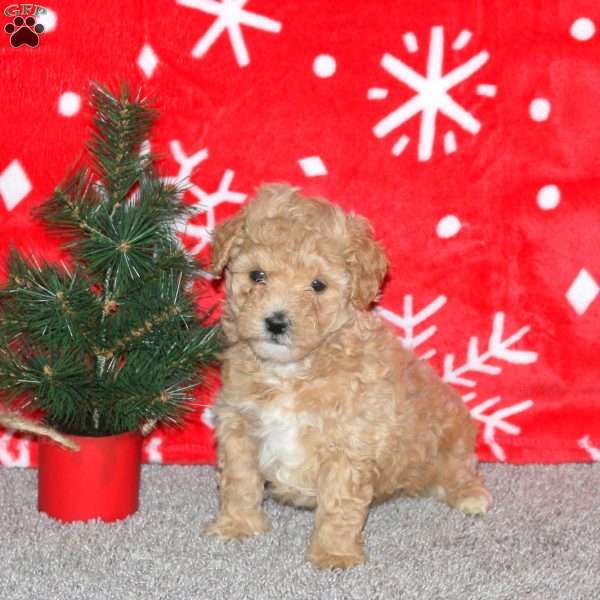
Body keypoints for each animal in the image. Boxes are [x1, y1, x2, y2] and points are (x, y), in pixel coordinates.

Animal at [206, 185, 492, 568]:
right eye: (257, 276)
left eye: (317, 285)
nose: (276, 322)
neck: (291, 372)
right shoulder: (238, 425)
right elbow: (239, 481)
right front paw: (237, 525)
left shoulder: (349, 441)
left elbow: (339, 505)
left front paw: (333, 553)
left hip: (451, 436)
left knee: (459, 469)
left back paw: (471, 495)